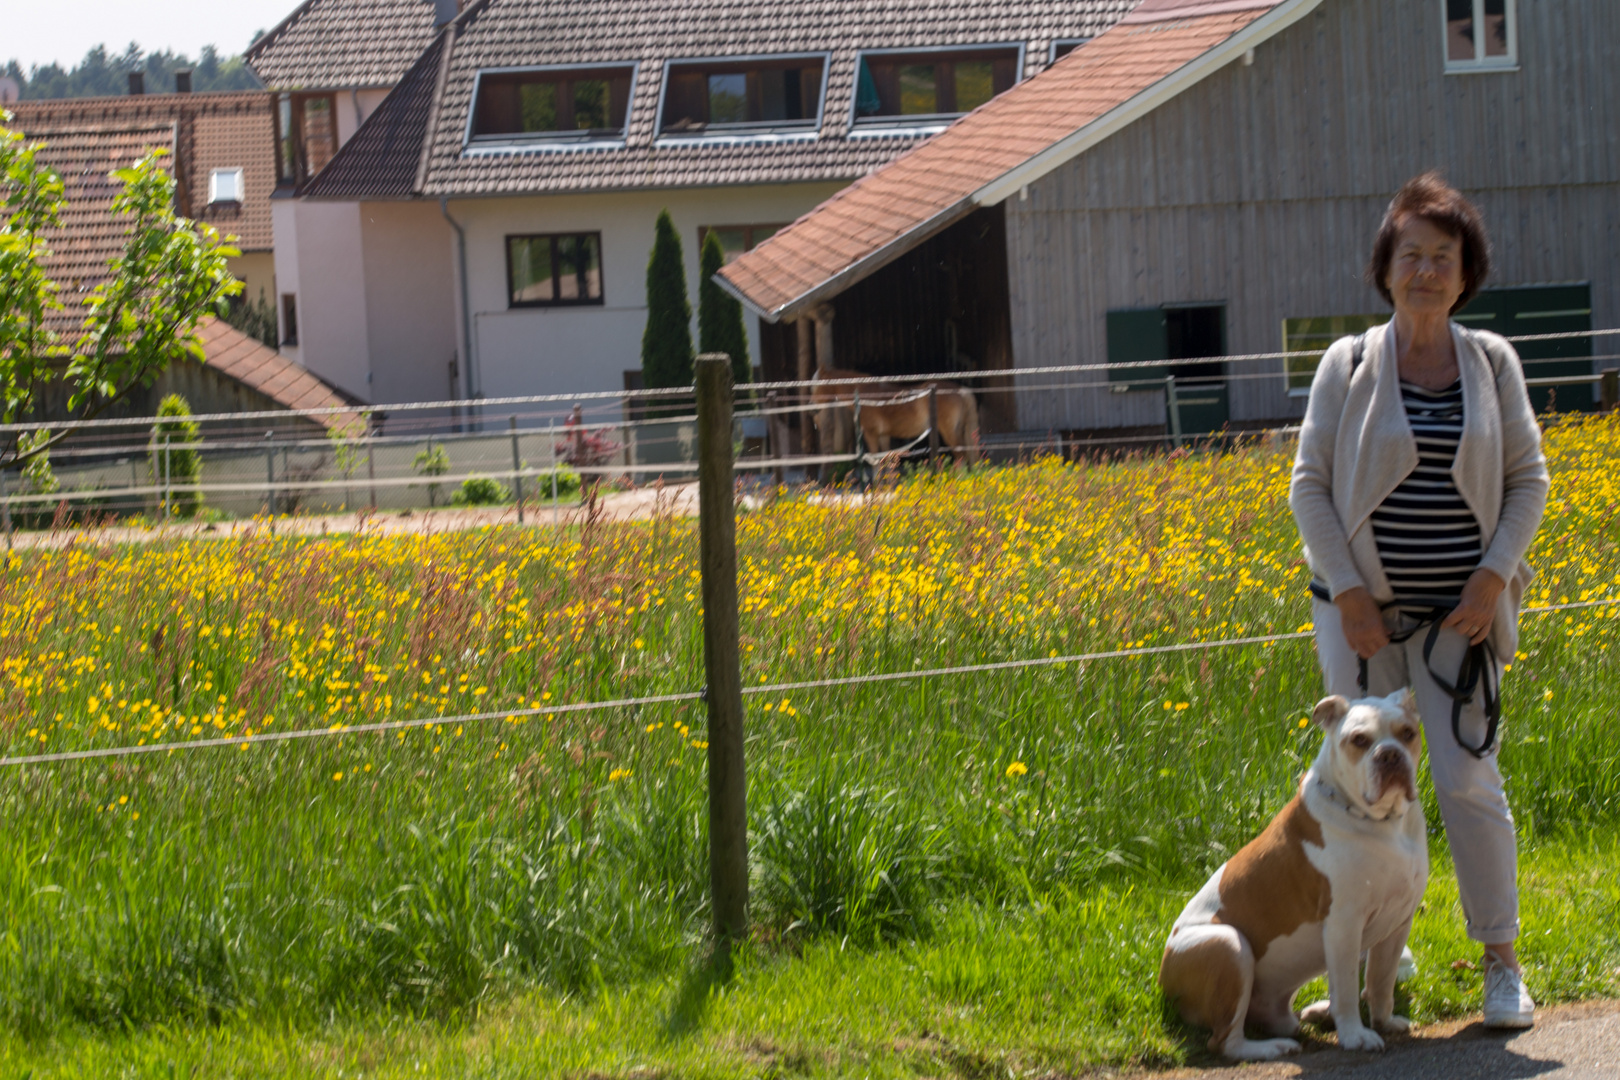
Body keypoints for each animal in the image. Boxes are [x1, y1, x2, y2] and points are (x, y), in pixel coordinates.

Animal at [1159, 693, 1425, 1055]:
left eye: (1408, 733)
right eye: (1359, 739)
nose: (1390, 754)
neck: (1382, 822)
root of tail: (1163, 979)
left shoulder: (1398, 923)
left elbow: (1381, 982)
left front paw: (1384, 1022)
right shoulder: (1343, 925)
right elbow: (1345, 989)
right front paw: (1355, 1035)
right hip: (1228, 943)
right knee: (1225, 1041)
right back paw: (1271, 1048)